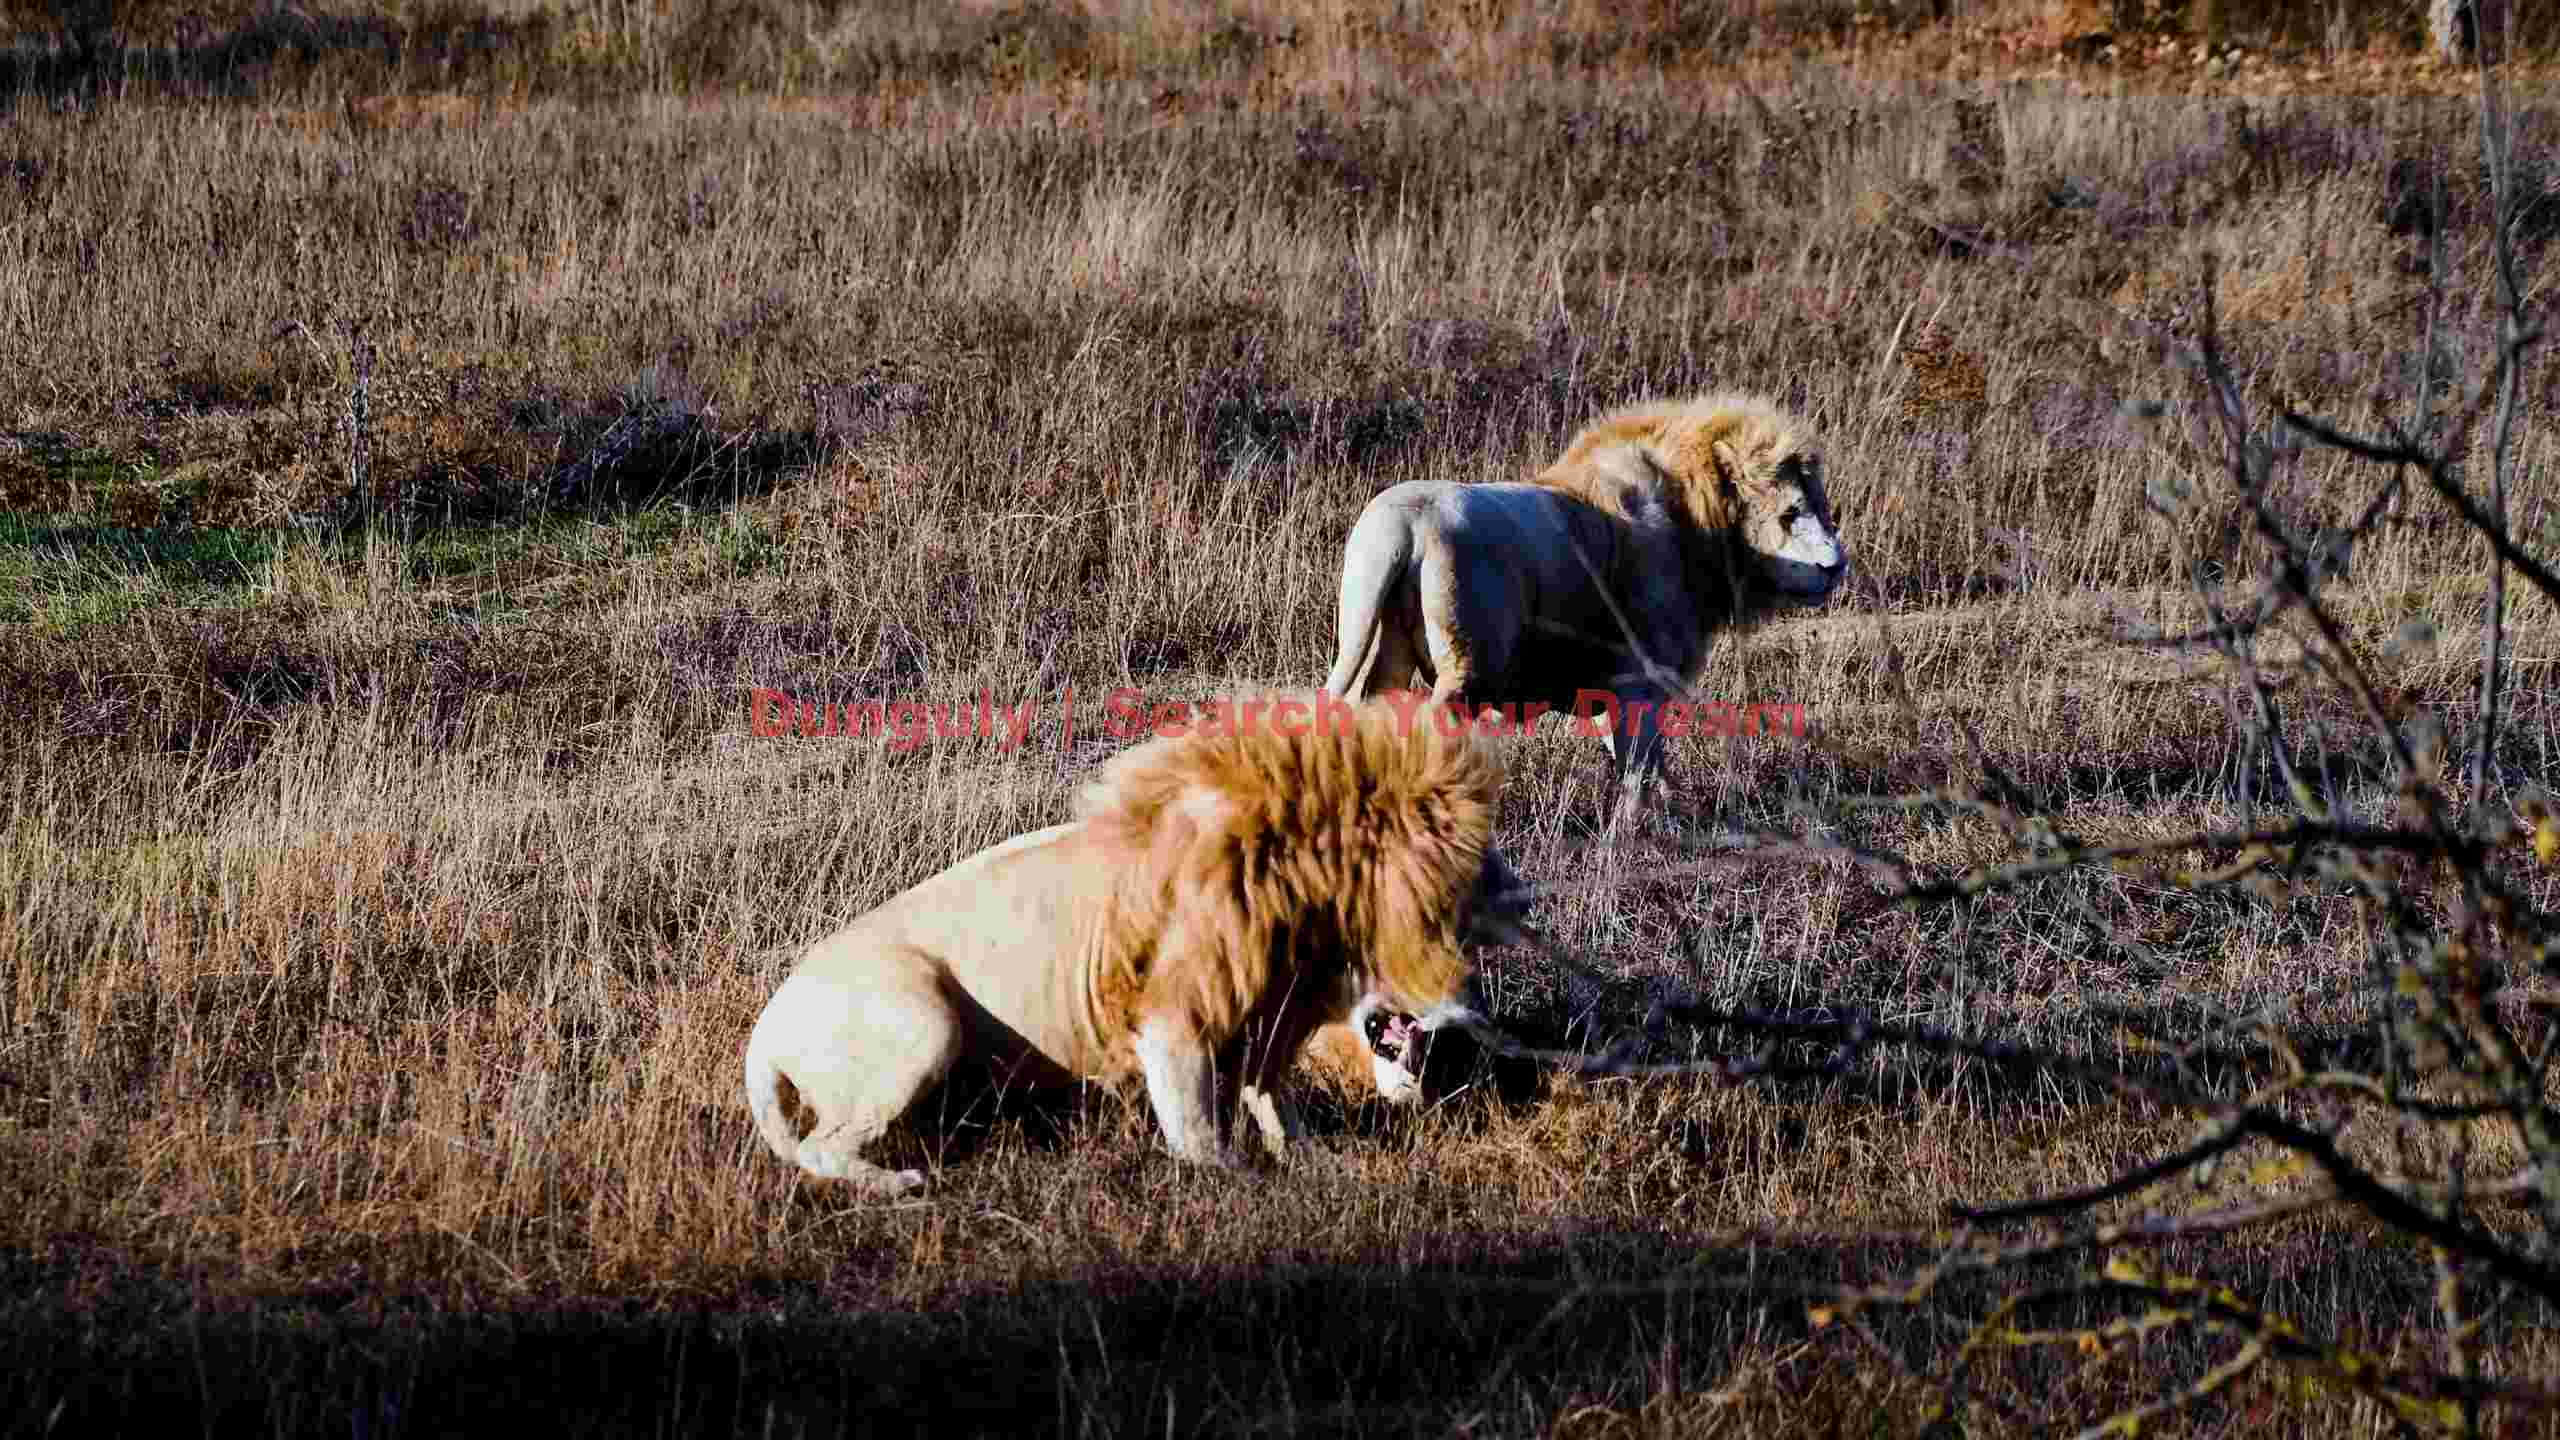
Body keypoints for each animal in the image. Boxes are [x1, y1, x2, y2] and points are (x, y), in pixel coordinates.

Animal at [742, 691, 1535, 1195]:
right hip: (923, 1021)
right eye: (1448, 922)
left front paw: (1314, 1160)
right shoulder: (1175, 1015)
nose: (1473, 995)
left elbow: (1273, 1100)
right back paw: (899, 1183)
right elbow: (1198, 1134)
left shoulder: (1267, 1015)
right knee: (816, 1147)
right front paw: (1242, 1180)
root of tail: (765, 1030)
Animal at [1320, 390, 1849, 833]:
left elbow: (1640, 758)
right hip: (1465, 669)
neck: (1692, 520)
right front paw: (1627, 836)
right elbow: (1639, 761)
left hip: (1377, 647)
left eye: (1822, 507)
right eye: (1790, 512)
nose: (1836, 566)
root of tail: (1402, 524)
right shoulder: (1641, 675)